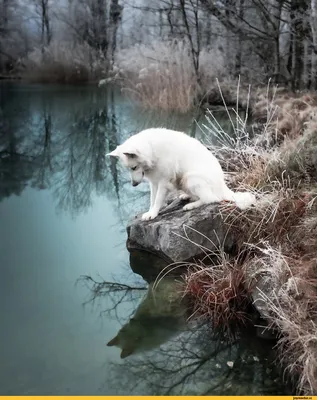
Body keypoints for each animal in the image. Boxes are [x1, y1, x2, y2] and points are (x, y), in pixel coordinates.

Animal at [107, 128, 256, 220]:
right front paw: (150, 212)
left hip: (190, 178)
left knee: (211, 199)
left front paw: (153, 213)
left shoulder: (163, 182)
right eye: (129, 169)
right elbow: (152, 199)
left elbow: (157, 200)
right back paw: (187, 196)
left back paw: (191, 205)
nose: (133, 184)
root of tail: (223, 186)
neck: (152, 150)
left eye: (134, 167)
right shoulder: (154, 182)